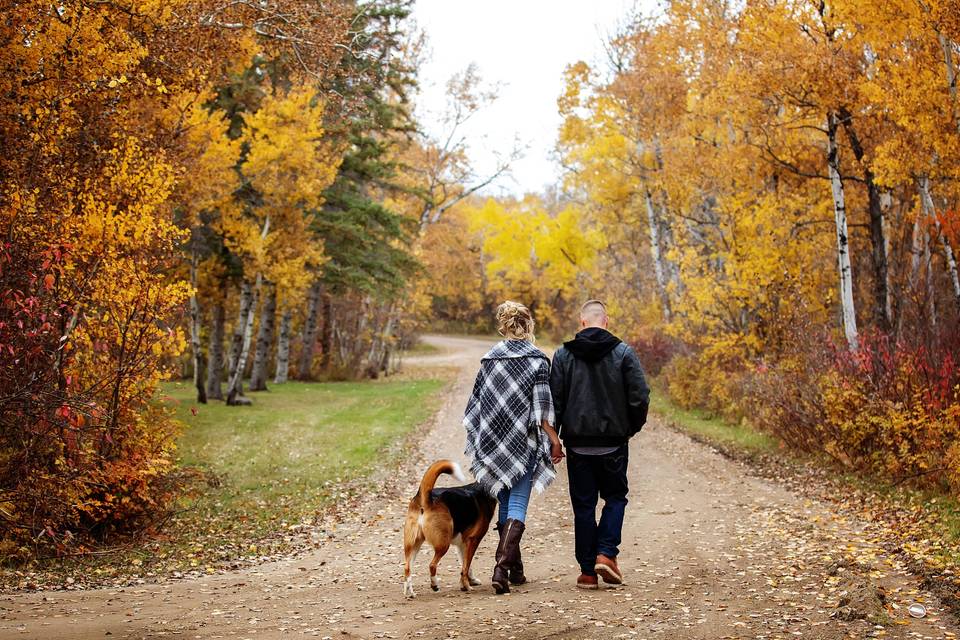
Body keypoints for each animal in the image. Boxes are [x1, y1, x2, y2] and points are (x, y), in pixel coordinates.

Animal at [404, 458, 498, 596]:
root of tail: (426, 499)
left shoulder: (462, 544)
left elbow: (466, 565)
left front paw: (471, 580)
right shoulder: (473, 540)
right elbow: (465, 567)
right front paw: (466, 586)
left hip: (413, 545)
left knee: (407, 568)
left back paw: (409, 592)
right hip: (443, 544)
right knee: (432, 565)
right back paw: (435, 585)